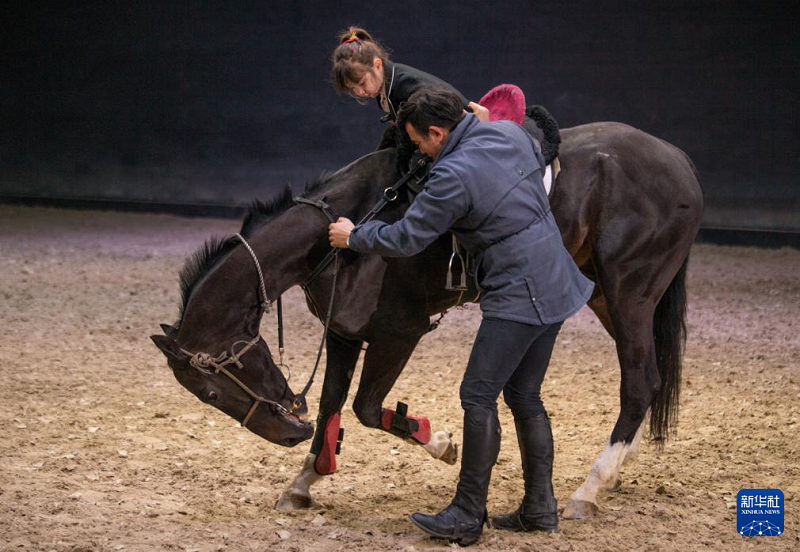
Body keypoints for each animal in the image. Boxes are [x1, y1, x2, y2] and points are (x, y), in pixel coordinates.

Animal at [153, 119, 704, 516]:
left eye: (211, 392)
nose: (288, 435)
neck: (348, 228)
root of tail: (679, 160)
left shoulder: (399, 333)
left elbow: (367, 409)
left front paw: (439, 442)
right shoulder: (345, 332)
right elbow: (332, 408)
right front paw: (304, 480)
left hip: (631, 293)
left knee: (638, 383)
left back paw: (591, 487)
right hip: (606, 296)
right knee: (650, 380)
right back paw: (618, 468)